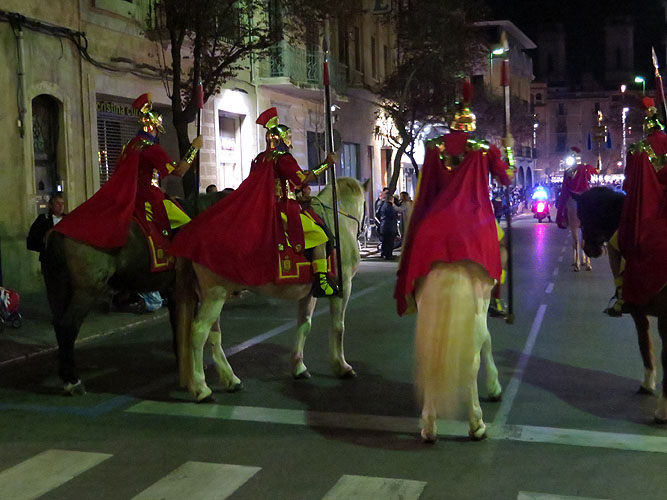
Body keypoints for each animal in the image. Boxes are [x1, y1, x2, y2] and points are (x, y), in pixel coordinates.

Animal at [43, 191, 226, 395]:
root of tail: (59, 232)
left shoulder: (174, 290)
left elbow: (177, 325)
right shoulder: (188, 290)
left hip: (59, 290)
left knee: (59, 326)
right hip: (86, 291)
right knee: (67, 326)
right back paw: (73, 381)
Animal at [177, 178, 367, 402]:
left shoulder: (309, 294)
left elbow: (304, 325)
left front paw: (298, 367)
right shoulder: (343, 287)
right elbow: (338, 327)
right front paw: (341, 367)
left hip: (211, 294)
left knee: (214, 334)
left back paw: (230, 379)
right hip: (215, 294)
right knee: (199, 332)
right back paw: (201, 388)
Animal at [575, 186, 667, 423]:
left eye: (582, 215)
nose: (590, 250)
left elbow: (650, 348)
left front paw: (659, 403)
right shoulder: (642, 314)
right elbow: (645, 345)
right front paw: (648, 382)